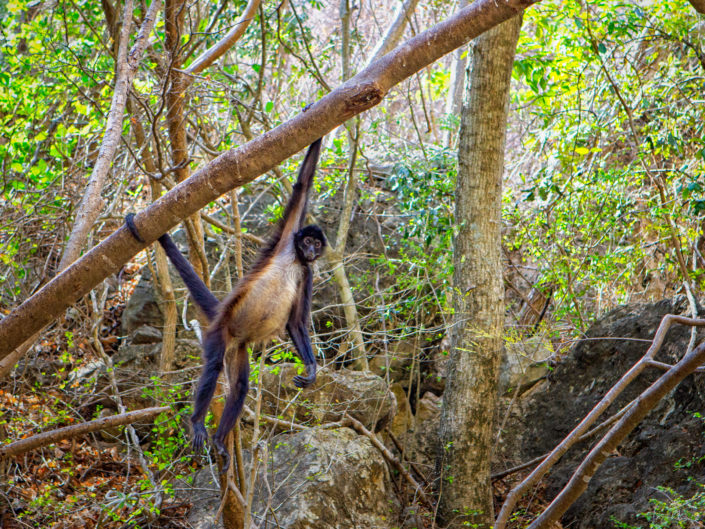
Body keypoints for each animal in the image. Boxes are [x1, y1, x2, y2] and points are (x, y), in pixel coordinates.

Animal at [125, 138, 326, 468]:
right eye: (307, 241)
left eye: (317, 244)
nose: (311, 250)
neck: (295, 260)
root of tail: (225, 321)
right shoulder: (287, 240)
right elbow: (302, 185)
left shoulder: (308, 273)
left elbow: (296, 322)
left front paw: (311, 368)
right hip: (219, 333)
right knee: (214, 364)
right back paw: (197, 423)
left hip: (239, 346)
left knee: (241, 386)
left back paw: (220, 440)